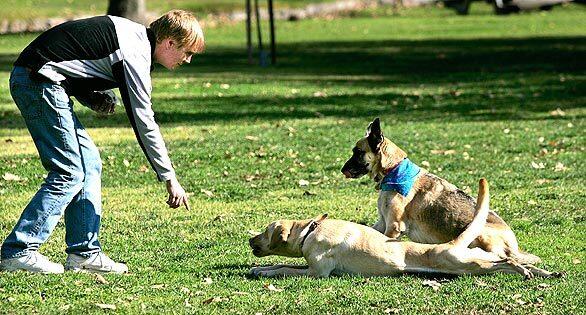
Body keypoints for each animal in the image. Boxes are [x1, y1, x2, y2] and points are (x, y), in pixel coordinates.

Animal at [246, 179, 556, 280]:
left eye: (264, 231)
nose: (249, 240)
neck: (310, 230)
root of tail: (453, 243)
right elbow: (278, 263)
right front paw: (260, 269)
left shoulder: (316, 272)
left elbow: (285, 268)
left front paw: (266, 272)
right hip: (473, 261)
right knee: (508, 259)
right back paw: (545, 273)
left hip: (463, 264)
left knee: (507, 262)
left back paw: (525, 272)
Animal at [342, 118, 540, 266]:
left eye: (358, 152)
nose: (342, 170)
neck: (393, 169)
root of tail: (514, 246)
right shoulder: (383, 223)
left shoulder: (393, 227)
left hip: (480, 233)